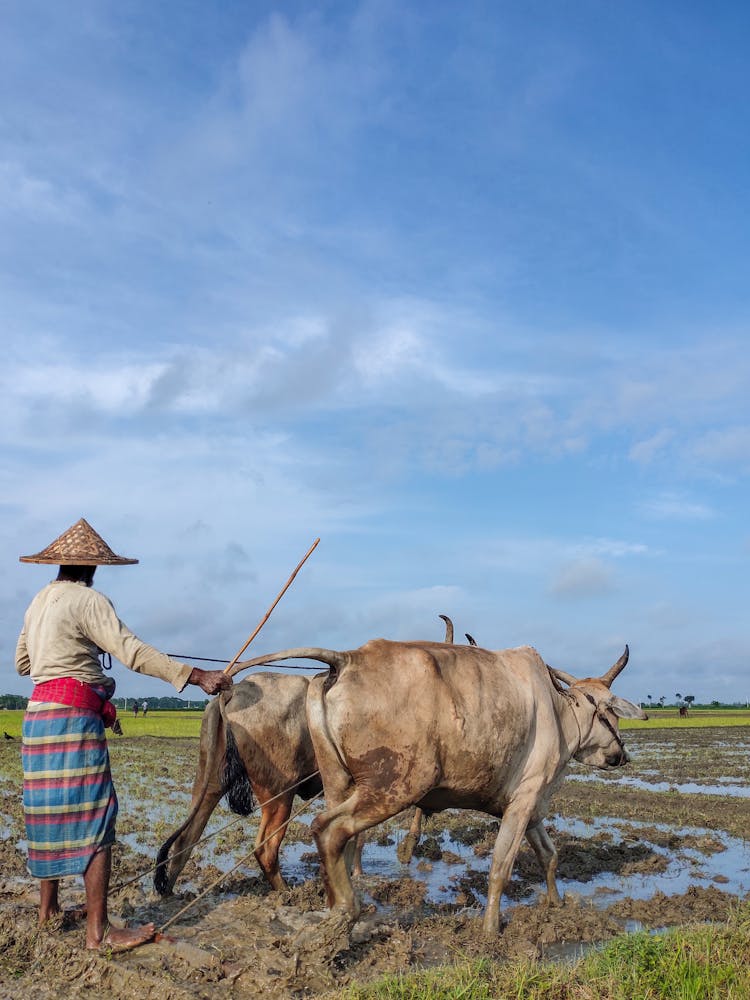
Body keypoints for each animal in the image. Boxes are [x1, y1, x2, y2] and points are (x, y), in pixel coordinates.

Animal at [235, 640, 648, 936]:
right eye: (611, 713)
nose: (621, 755)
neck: (561, 716)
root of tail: (348, 659)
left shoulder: (531, 806)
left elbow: (549, 856)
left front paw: (557, 905)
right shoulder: (525, 799)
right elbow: (501, 866)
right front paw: (490, 930)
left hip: (339, 782)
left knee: (340, 843)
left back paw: (338, 905)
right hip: (395, 784)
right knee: (328, 830)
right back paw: (346, 911)